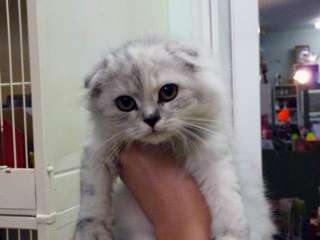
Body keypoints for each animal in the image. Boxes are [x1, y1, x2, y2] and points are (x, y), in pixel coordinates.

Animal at [74, 38, 276, 239]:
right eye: (125, 103)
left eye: (168, 92)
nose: (151, 119)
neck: (165, 144)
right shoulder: (98, 149)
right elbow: (92, 199)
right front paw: (92, 233)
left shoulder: (213, 152)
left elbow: (226, 197)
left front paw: (231, 234)